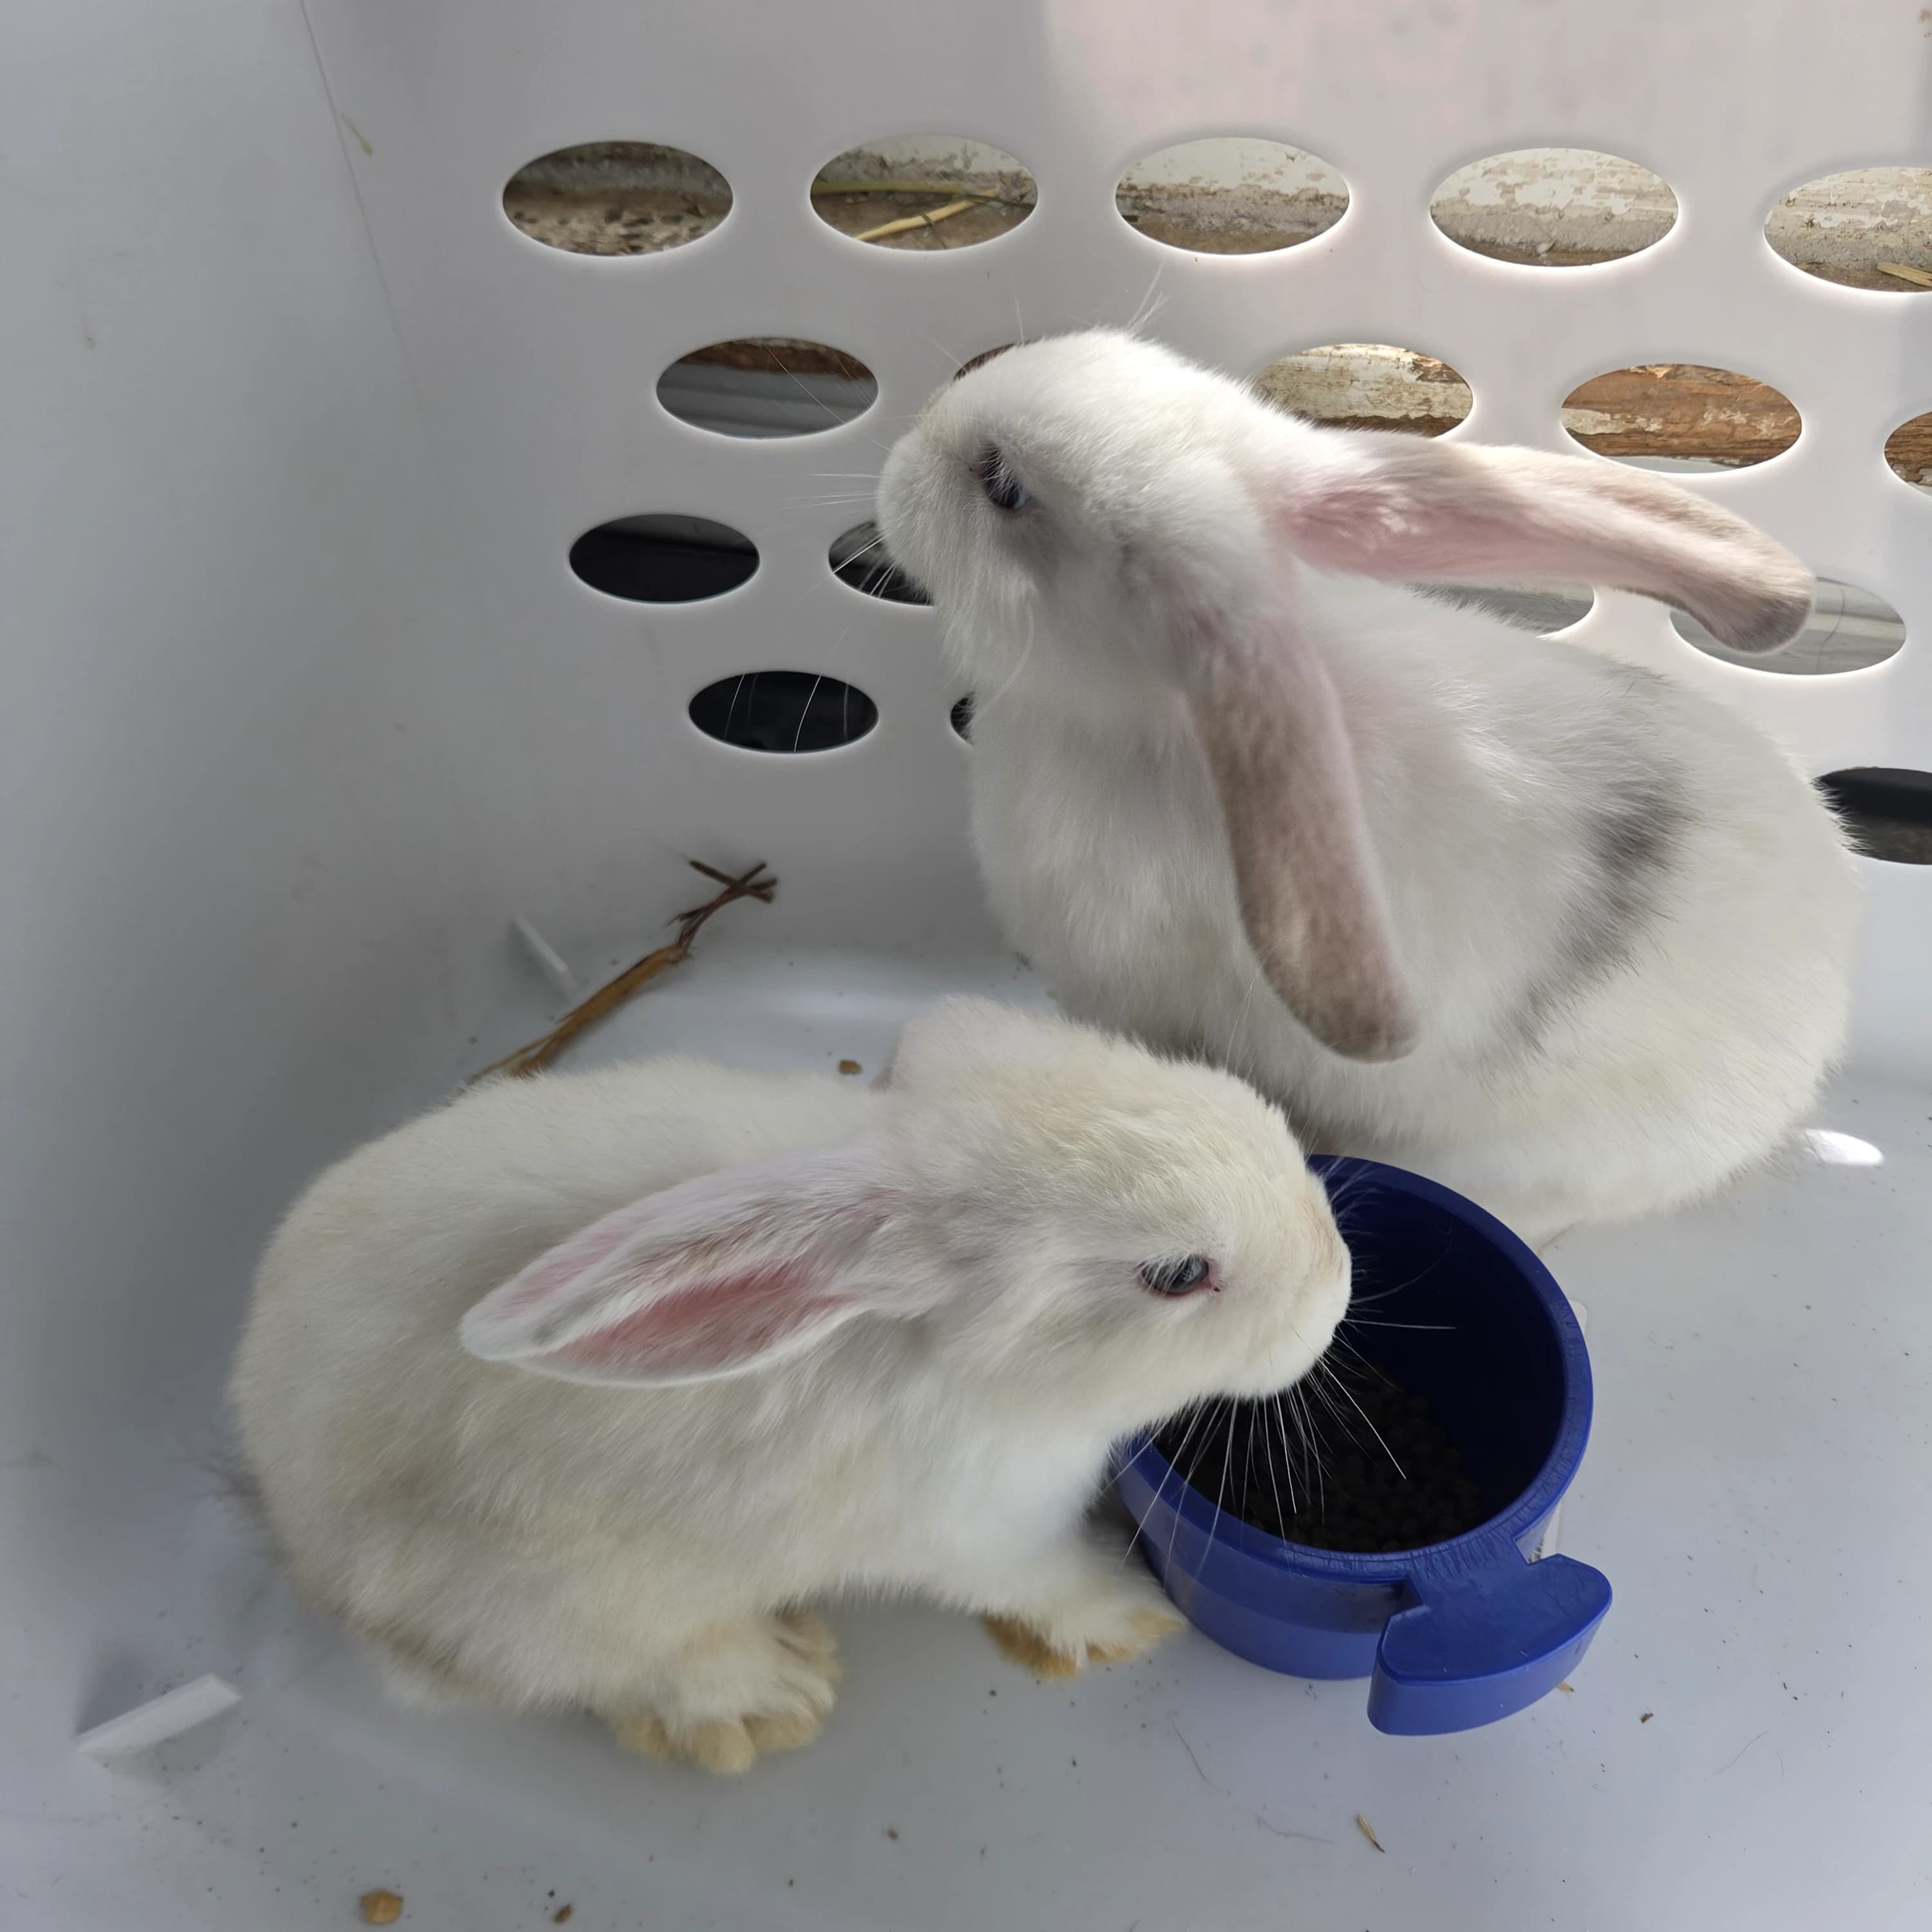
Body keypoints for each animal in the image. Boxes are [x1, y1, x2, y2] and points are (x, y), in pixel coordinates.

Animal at [229, 997, 1350, 1774]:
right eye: (1179, 1274)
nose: (1338, 1278)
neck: (954, 1356)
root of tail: (287, 1525)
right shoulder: (985, 1534)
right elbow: (1048, 1582)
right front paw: (1133, 1613)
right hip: (560, 1608)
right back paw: (767, 1695)